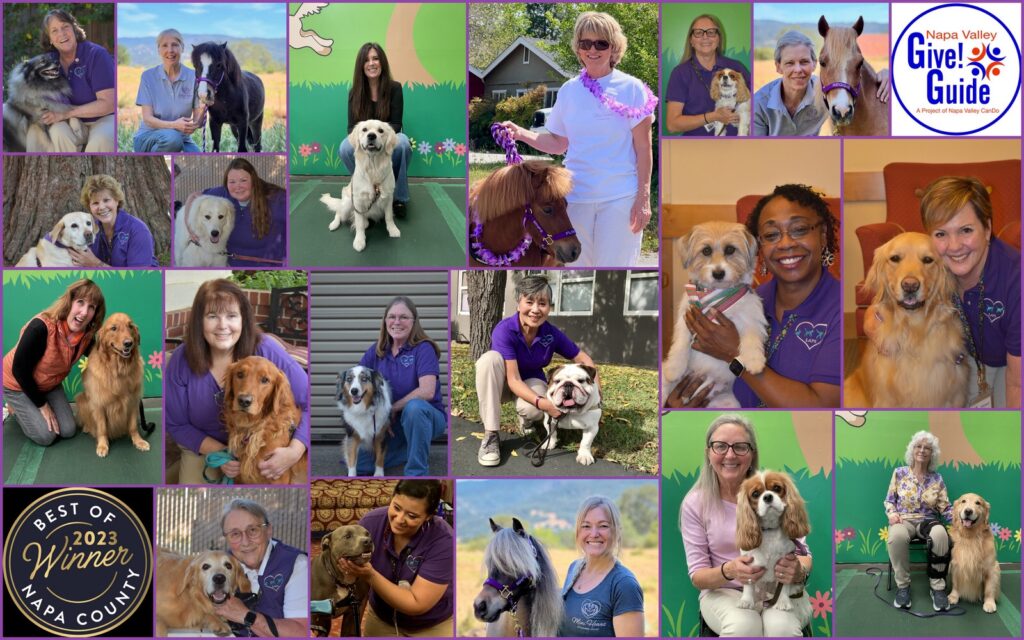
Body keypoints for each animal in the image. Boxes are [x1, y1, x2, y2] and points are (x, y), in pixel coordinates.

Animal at [319, 119, 399, 251]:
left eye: (381, 130)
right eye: (364, 129)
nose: (371, 136)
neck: (373, 168)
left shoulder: (388, 197)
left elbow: (389, 217)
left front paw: (393, 230)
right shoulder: (358, 200)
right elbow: (360, 225)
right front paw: (359, 241)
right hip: (348, 203)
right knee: (339, 212)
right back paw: (334, 224)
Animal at [663, 222, 770, 407]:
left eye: (730, 249)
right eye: (706, 251)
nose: (718, 273)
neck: (718, 293)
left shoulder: (750, 316)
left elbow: (751, 337)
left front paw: (754, 360)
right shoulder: (686, 317)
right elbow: (680, 344)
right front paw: (674, 368)